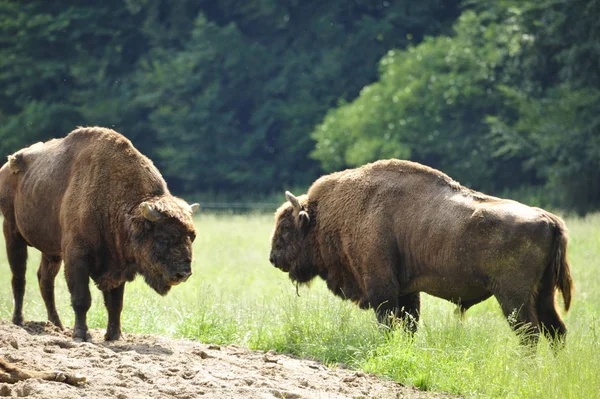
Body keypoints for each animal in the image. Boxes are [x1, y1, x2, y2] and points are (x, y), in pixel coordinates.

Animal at [0, 128, 202, 344]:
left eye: (192, 236)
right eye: (163, 238)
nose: (183, 273)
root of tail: (6, 167)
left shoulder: (117, 265)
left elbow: (115, 303)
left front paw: (114, 336)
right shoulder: (77, 258)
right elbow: (82, 299)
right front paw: (81, 335)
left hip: (51, 252)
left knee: (45, 281)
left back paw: (56, 325)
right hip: (12, 233)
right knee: (19, 278)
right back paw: (18, 321)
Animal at [270, 159, 576, 346]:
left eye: (286, 227)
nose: (273, 258)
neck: (326, 215)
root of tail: (549, 219)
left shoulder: (382, 288)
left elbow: (388, 322)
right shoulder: (407, 291)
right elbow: (409, 324)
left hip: (514, 297)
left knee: (531, 334)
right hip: (543, 294)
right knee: (555, 331)